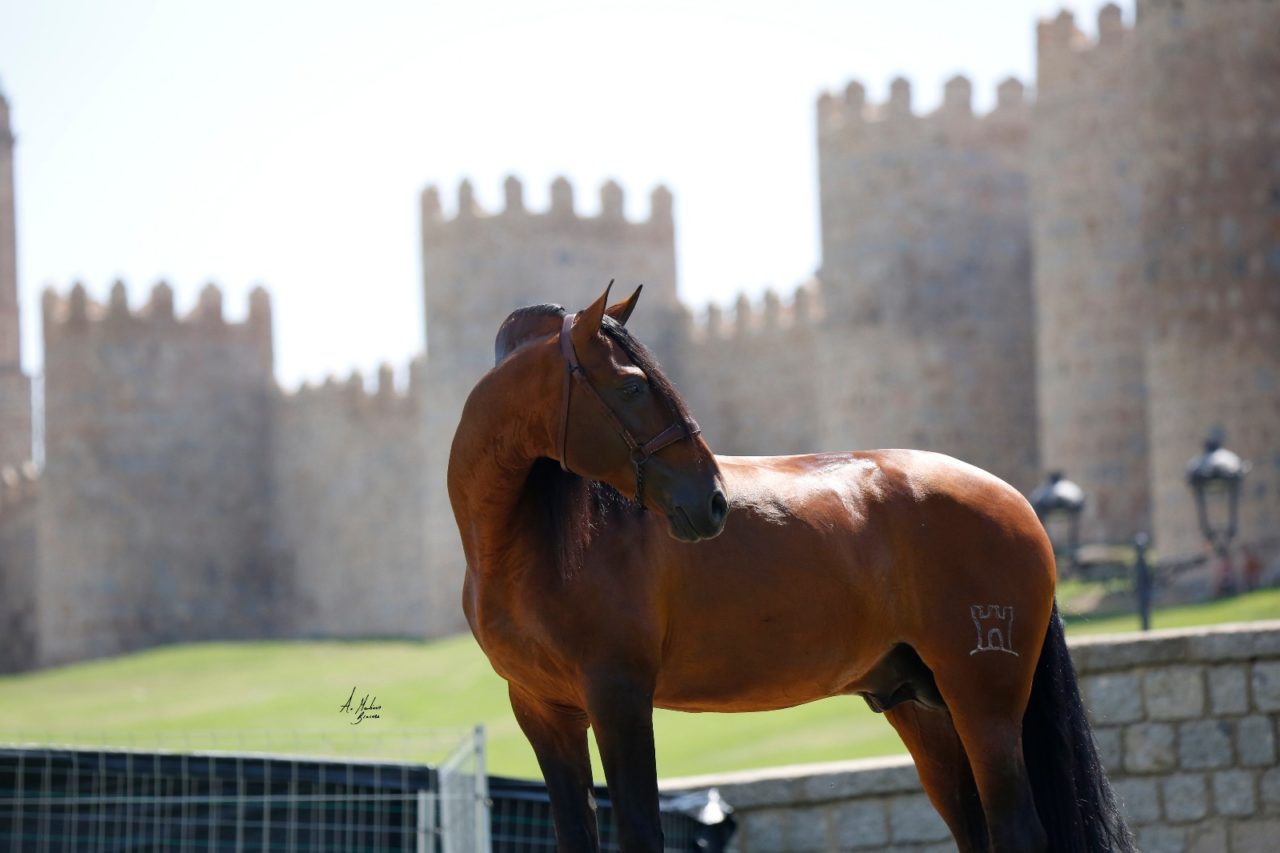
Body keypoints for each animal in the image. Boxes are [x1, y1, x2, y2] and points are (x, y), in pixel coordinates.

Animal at [450, 281, 1131, 845]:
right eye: (632, 386)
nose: (712, 500)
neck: (528, 550)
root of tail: (1015, 500)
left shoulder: (619, 699)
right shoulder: (544, 713)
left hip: (983, 704)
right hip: (924, 710)